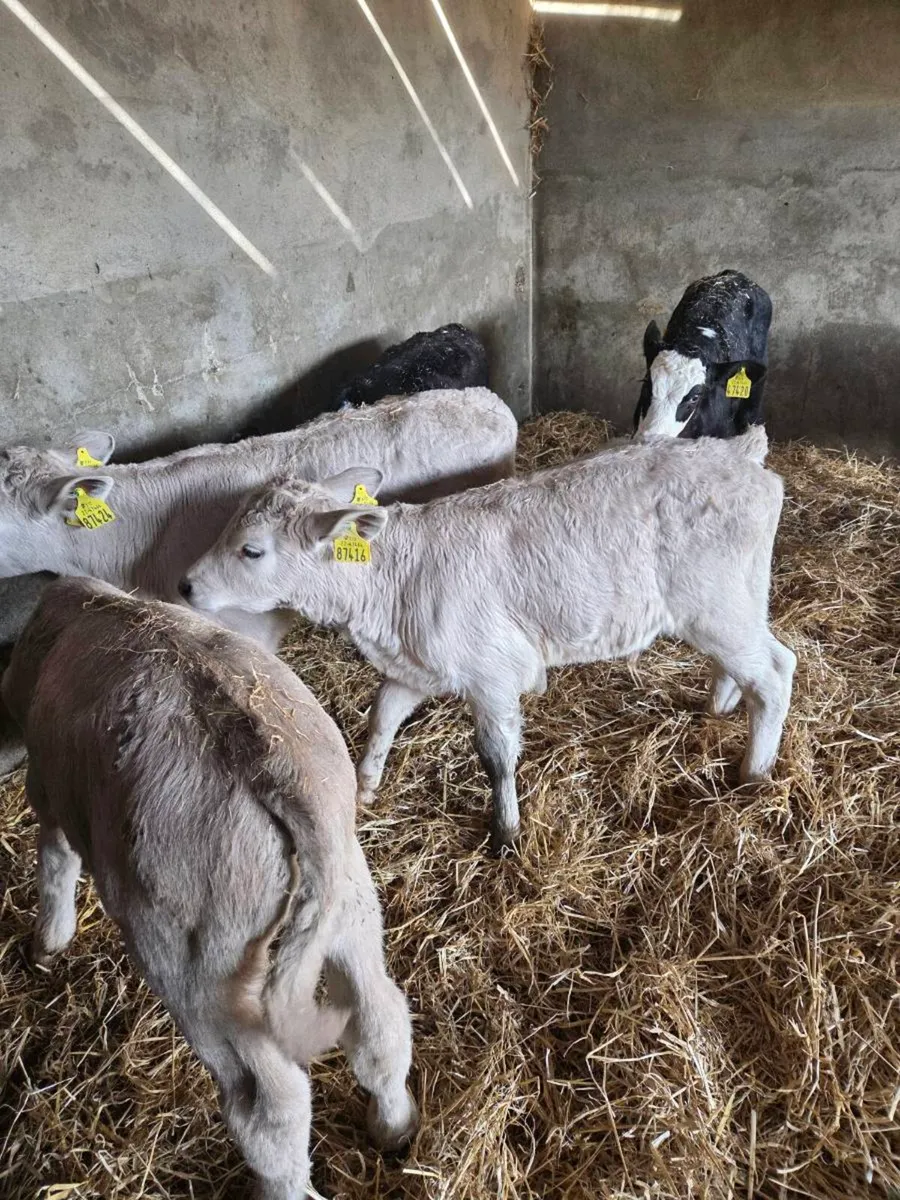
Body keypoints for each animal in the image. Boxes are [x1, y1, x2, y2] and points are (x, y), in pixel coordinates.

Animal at [2, 577, 418, 1198]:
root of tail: (274, 766)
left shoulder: (47, 789)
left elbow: (54, 864)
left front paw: (46, 946)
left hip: (199, 957)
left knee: (269, 1104)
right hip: (349, 903)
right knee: (379, 1022)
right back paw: (394, 1127)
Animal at [180, 428, 796, 854]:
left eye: (251, 550)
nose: (186, 584)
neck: (393, 584)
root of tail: (740, 452)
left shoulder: (491, 672)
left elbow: (496, 757)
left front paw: (505, 833)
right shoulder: (414, 666)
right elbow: (381, 718)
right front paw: (363, 788)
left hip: (715, 605)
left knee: (775, 671)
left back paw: (754, 774)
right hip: (736, 600)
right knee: (747, 665)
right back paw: (719, 708)